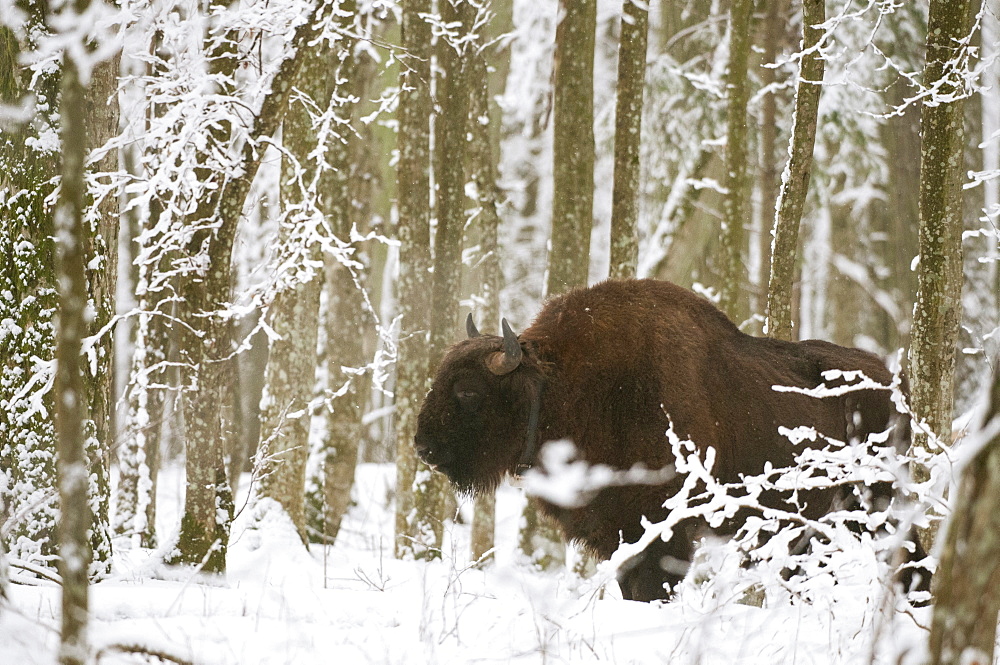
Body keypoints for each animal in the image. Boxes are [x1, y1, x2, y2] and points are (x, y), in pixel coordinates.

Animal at [412, 278, 920, 600]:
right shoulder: (616, 534)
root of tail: (894, 383)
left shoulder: (662, 532)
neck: (560, 385)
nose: (423, 447)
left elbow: (652, 590)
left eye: (468, 391)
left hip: (880, 505)